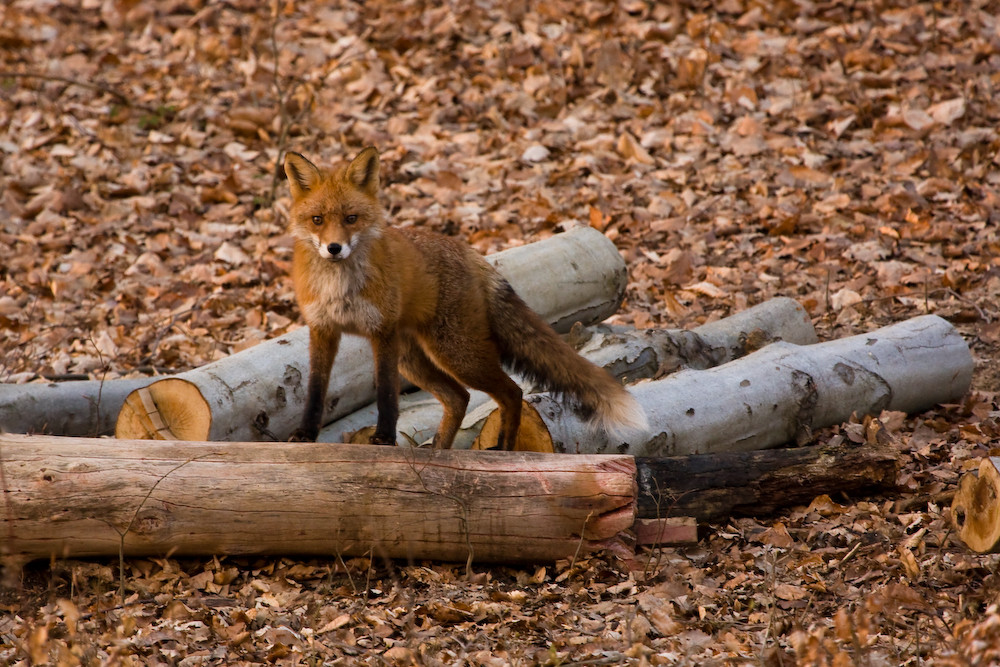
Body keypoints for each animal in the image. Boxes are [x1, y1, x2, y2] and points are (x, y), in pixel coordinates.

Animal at [284, 146, 648, 448]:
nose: (334, 248)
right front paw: (305, 434)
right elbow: (316, 389)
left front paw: (384, 438)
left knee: (511, 391)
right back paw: (440, 453)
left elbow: (386, 394)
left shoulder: (381, 331)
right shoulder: (322, 330)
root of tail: (470, 252)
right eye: (317, 220)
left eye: (351, 219)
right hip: (416, 359)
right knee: (459, 397)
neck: (340, 285)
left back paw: (503, 447)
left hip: (456, 353)